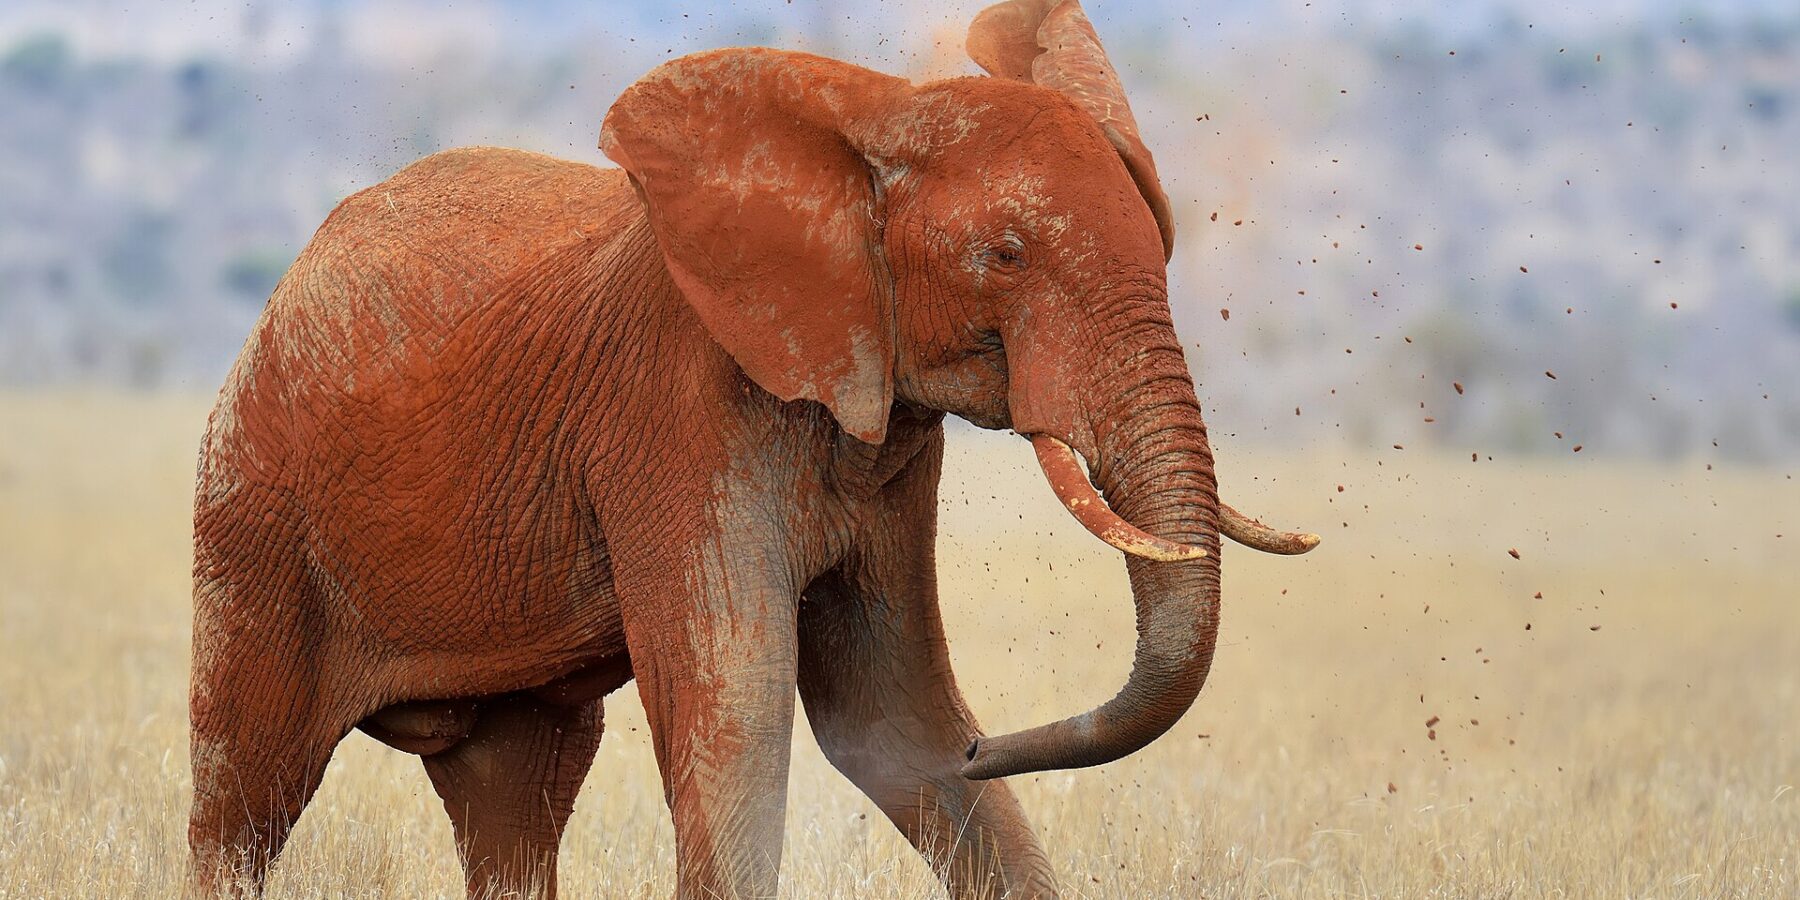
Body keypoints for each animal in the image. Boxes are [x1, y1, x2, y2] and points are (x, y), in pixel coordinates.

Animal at [186, 0, 1318, 897]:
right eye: (1003, 256)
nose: (990, 744)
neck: (871, 124)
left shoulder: (885, 428)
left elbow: (891, 720)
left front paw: (945, 749)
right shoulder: (679, 416)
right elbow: (737, 710)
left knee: (516, 797)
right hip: (255, 508)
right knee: (245, 792)